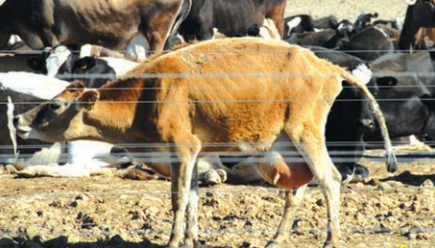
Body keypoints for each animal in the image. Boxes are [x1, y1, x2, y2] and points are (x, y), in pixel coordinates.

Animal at [15, 37, 398, 247]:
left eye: (55, 105)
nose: (18, 120)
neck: (148, 95)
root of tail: (326, 67)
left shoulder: (181, 150)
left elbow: (178, 198)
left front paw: (173, 240)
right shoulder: (194, 154)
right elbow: (194, 198)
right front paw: (191, 238)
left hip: (306, 134)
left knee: (330, 179)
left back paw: (331, 239)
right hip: (288, 145)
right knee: (299, 189)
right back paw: (277, 238)